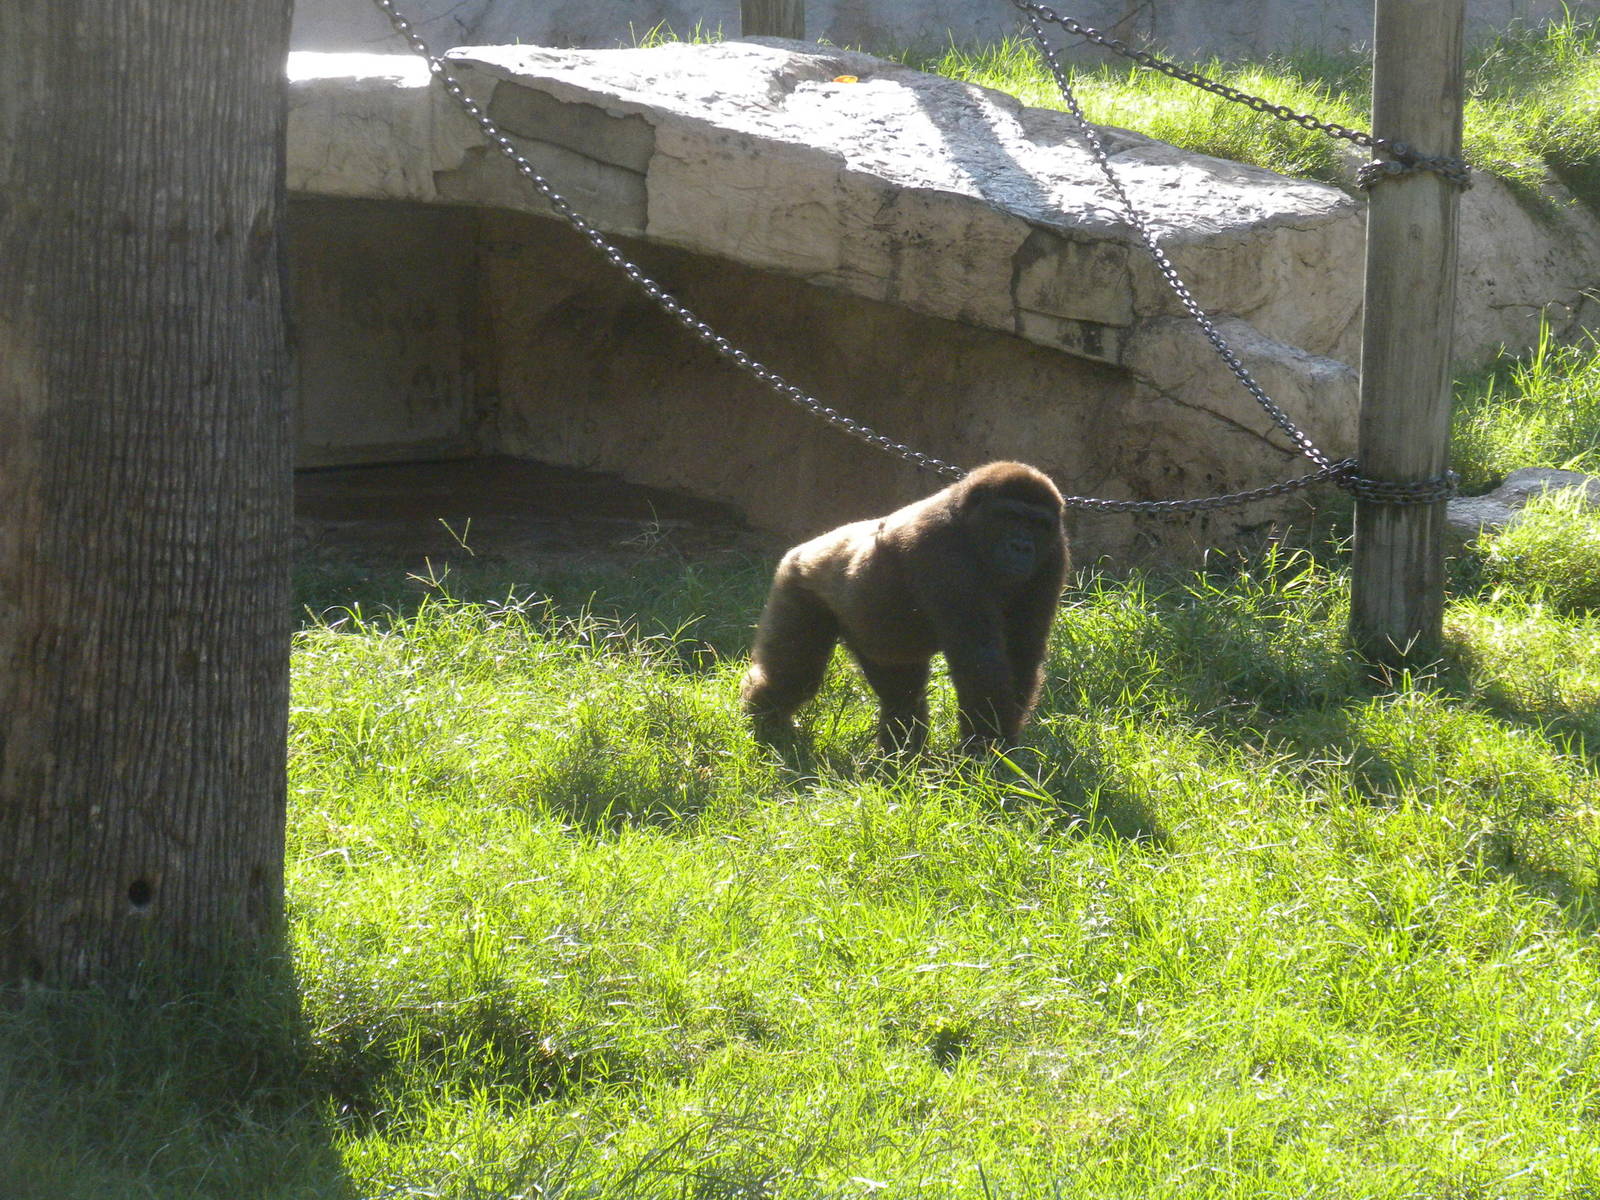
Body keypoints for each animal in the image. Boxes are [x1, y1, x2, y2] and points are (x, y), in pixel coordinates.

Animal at [740, 461, 1069, 755]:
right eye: (1011, 517)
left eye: (1038, 525)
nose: (1022, 547)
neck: (967, 519)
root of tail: (804, 548)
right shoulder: (942, 550)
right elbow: (980, 657)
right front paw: (988, 752)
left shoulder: (1054, 554)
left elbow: (1022, 649)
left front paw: (998, 749)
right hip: (798, 582)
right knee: (795, 677)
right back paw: (765, 719)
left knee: (900, 695)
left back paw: (901, 759)